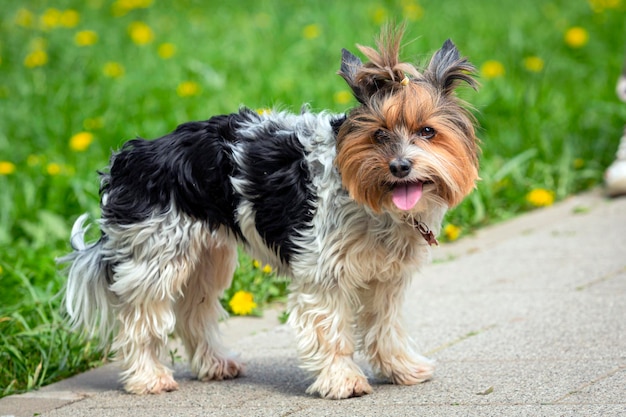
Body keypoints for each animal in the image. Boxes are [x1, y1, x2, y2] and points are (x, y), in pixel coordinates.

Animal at [59, 24, 478, 398]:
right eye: (378, 134)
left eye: (427, 132)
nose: (400, 166)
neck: (372, 200)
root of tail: (130, 159)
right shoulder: (324, 274)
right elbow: (332, 330)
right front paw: (342, 381)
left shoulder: (386, 280)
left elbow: (384, 327)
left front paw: (399, 368)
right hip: (158, 257)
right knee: (141, 320)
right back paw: (148, 378)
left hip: (206, 257)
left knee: (193, 313)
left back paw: (215, 364)